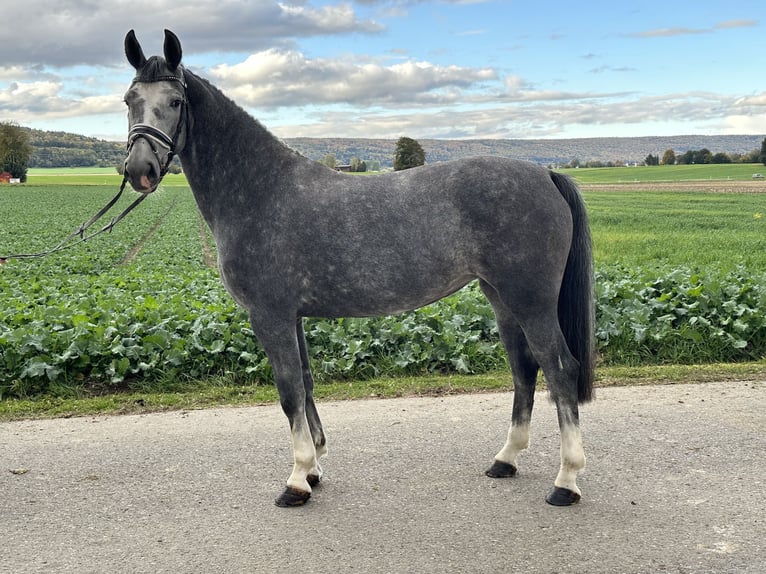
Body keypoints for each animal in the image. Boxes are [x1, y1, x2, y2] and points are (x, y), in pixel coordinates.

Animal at [123, 30, 596, 508]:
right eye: (129, 100)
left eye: (175, 101)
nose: (140, 170)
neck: (260, 190)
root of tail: (545, 174)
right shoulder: (292, 317)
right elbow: (306, 384)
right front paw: (313, 469)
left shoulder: (270, 316)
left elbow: (289, 392)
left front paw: (296, 480)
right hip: (500, 297)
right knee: (524, 369)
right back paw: (506, 459)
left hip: (531, 301)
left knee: (560, 369)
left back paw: (566, 481)